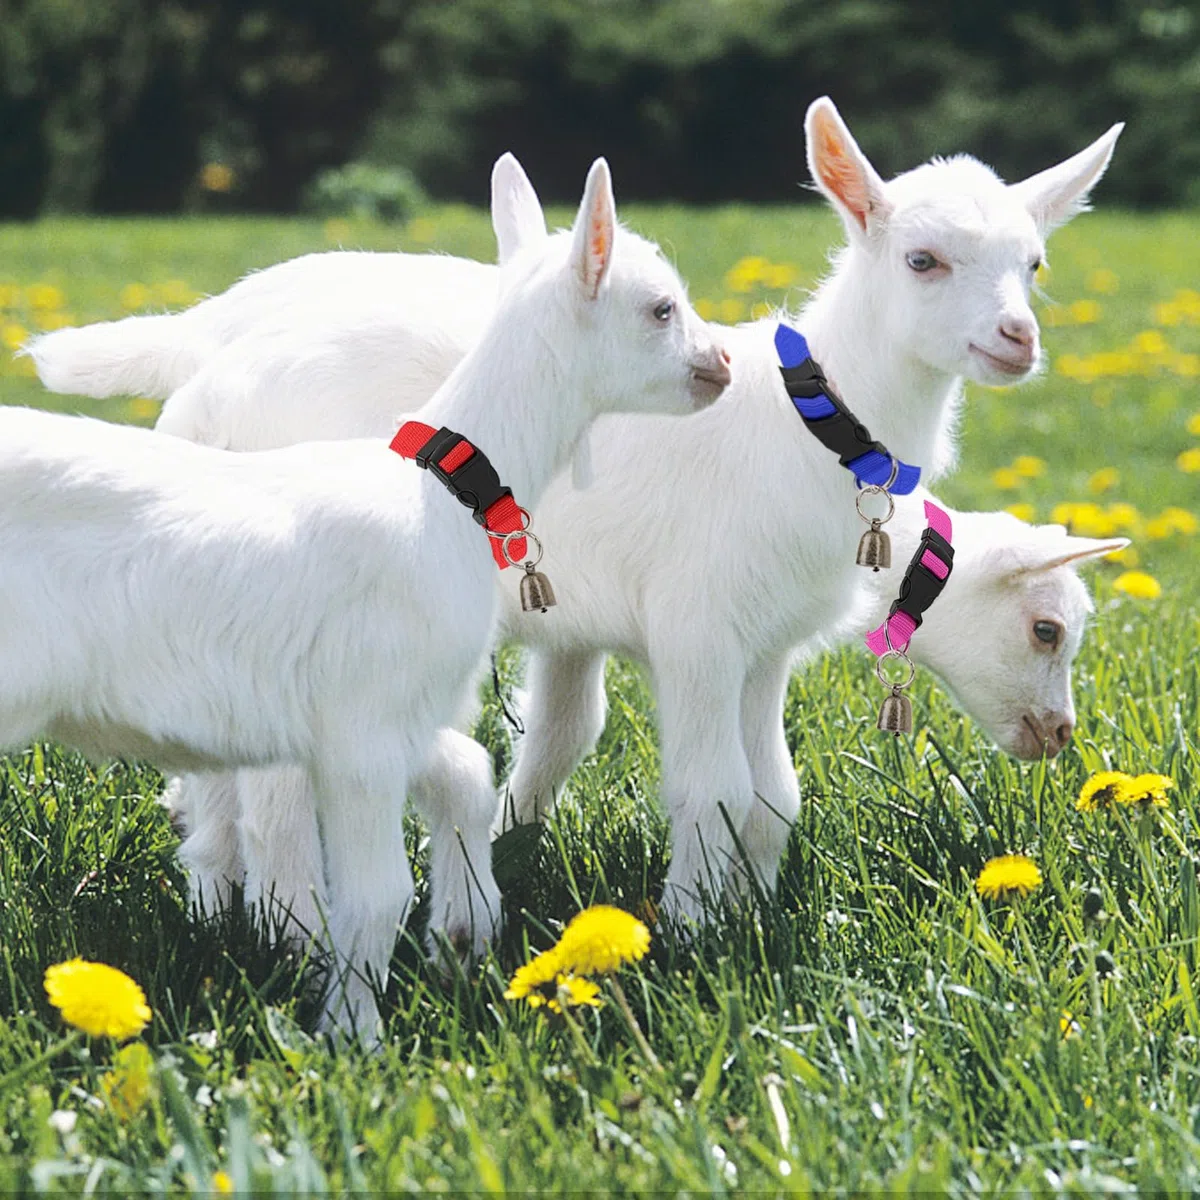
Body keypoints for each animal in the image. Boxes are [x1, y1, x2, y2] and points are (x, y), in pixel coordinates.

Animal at [0, 155, 729, 1036]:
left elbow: (462, 778)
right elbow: (377, 895)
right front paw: (353, 1034)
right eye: (661, 308)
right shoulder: (366, 725)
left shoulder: (388, 717)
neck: (438, 491)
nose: (722, 366)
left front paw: (463, 931)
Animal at [31, 97, 1123, 920]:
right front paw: (694, 930)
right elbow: (710, 786)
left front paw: (741, 902)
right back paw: (281, 920)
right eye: (922, 261)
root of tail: (205, 357)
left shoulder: (752, 641)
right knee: (273, 783)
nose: (1059, 738)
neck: (808, 426)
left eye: (1034, 266)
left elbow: (757, 791)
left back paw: (218, 893)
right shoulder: (696, 621)